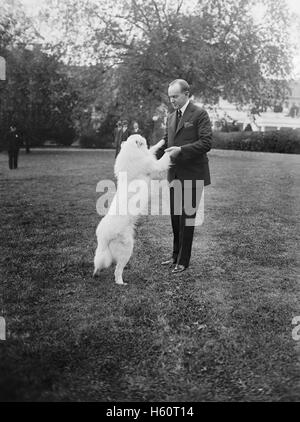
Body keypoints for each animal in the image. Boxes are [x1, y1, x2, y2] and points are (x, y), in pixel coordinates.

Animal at [92, 135, 170, 286]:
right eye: (143, 140)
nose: (146, 141)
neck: (131, 152)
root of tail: (103, 235)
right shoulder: (154, 167)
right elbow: (163, 159)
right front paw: (172, 150)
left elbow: (153, 150)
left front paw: (161, 142)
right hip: (127, 249)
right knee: (117, 270)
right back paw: (120, 282)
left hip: (105, 250)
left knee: (99, 261)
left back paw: (96, 273)